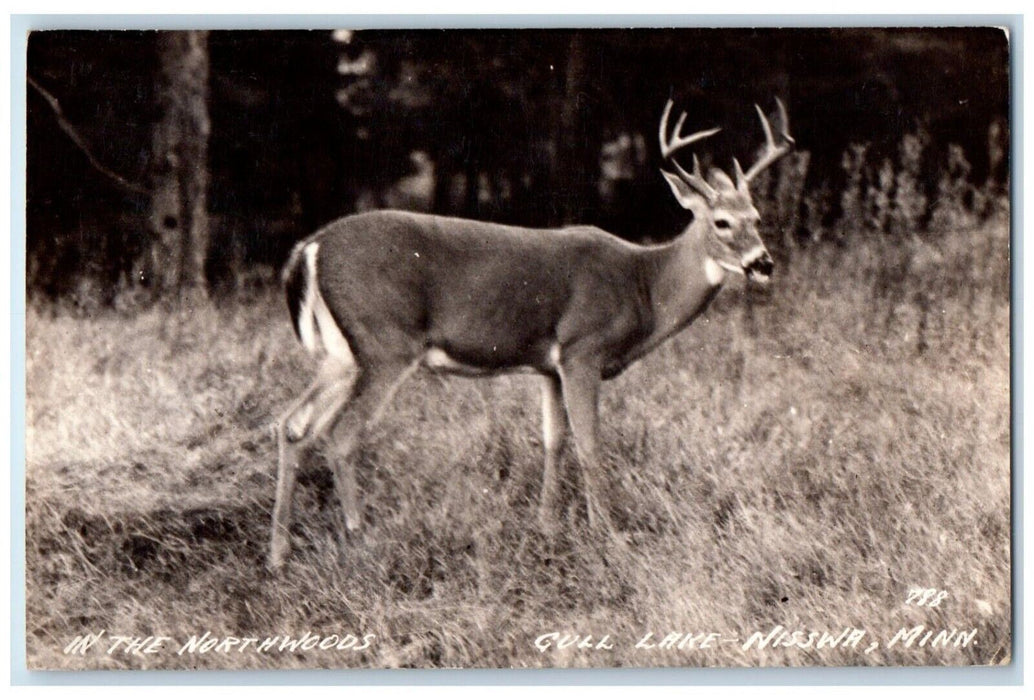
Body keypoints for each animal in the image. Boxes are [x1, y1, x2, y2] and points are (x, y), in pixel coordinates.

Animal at [266, 96, 789, 566]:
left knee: (293, 425)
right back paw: (361, 538)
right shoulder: (582, 348)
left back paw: (278, 554)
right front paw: (610, 535)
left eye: (758, 218)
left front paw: (547, 525)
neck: (643, 286)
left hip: (342, 355)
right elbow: (591, 443)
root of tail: (309, 248)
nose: (763, 263)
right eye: (721, 222)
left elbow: (554, 441)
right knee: (340, 436)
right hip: (385, 343)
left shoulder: (549, 367)